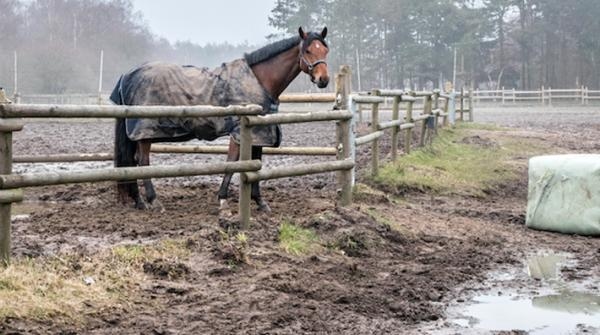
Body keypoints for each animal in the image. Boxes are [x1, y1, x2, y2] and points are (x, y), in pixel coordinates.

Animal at [110, 25, 330, 215]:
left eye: (325, 51)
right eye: (308, 50)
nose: (324, 80)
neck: (259, 80)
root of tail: (128, 75)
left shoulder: (259, 133)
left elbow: (255, 163)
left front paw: (260, 202)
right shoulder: (238, 133)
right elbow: (232, 163)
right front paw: (223, 201)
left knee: (131, 162)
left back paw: (139, 201)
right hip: (144, 132)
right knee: (142, 162)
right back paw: (153, 201)